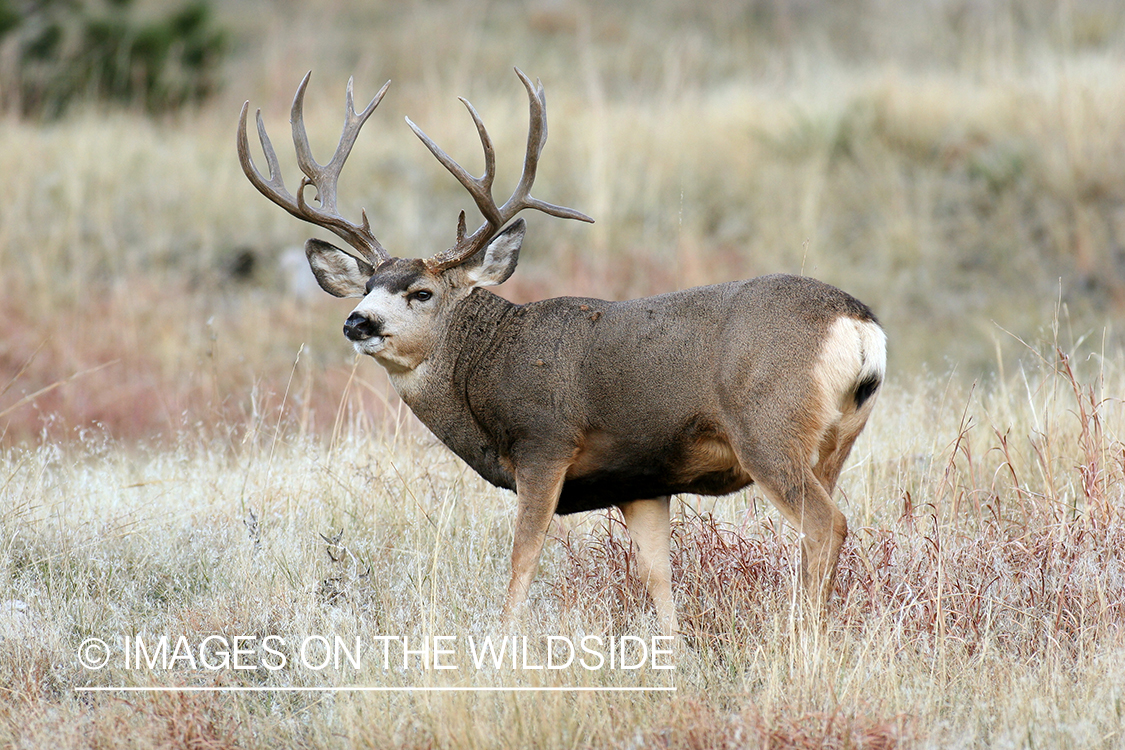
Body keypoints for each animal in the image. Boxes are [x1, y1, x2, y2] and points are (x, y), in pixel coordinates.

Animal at [237, 69, 885, 635]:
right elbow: (659, 580)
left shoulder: (544, 443)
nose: (357, 321)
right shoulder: (641, 480)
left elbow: (522, 562)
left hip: (767, 428)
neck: (488, 364)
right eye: (368, 285)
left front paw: (503, 644)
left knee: (826, 525)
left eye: (422, 292)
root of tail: (859, 324)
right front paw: (673, 654)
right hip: (834, 441)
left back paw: (802, 638)